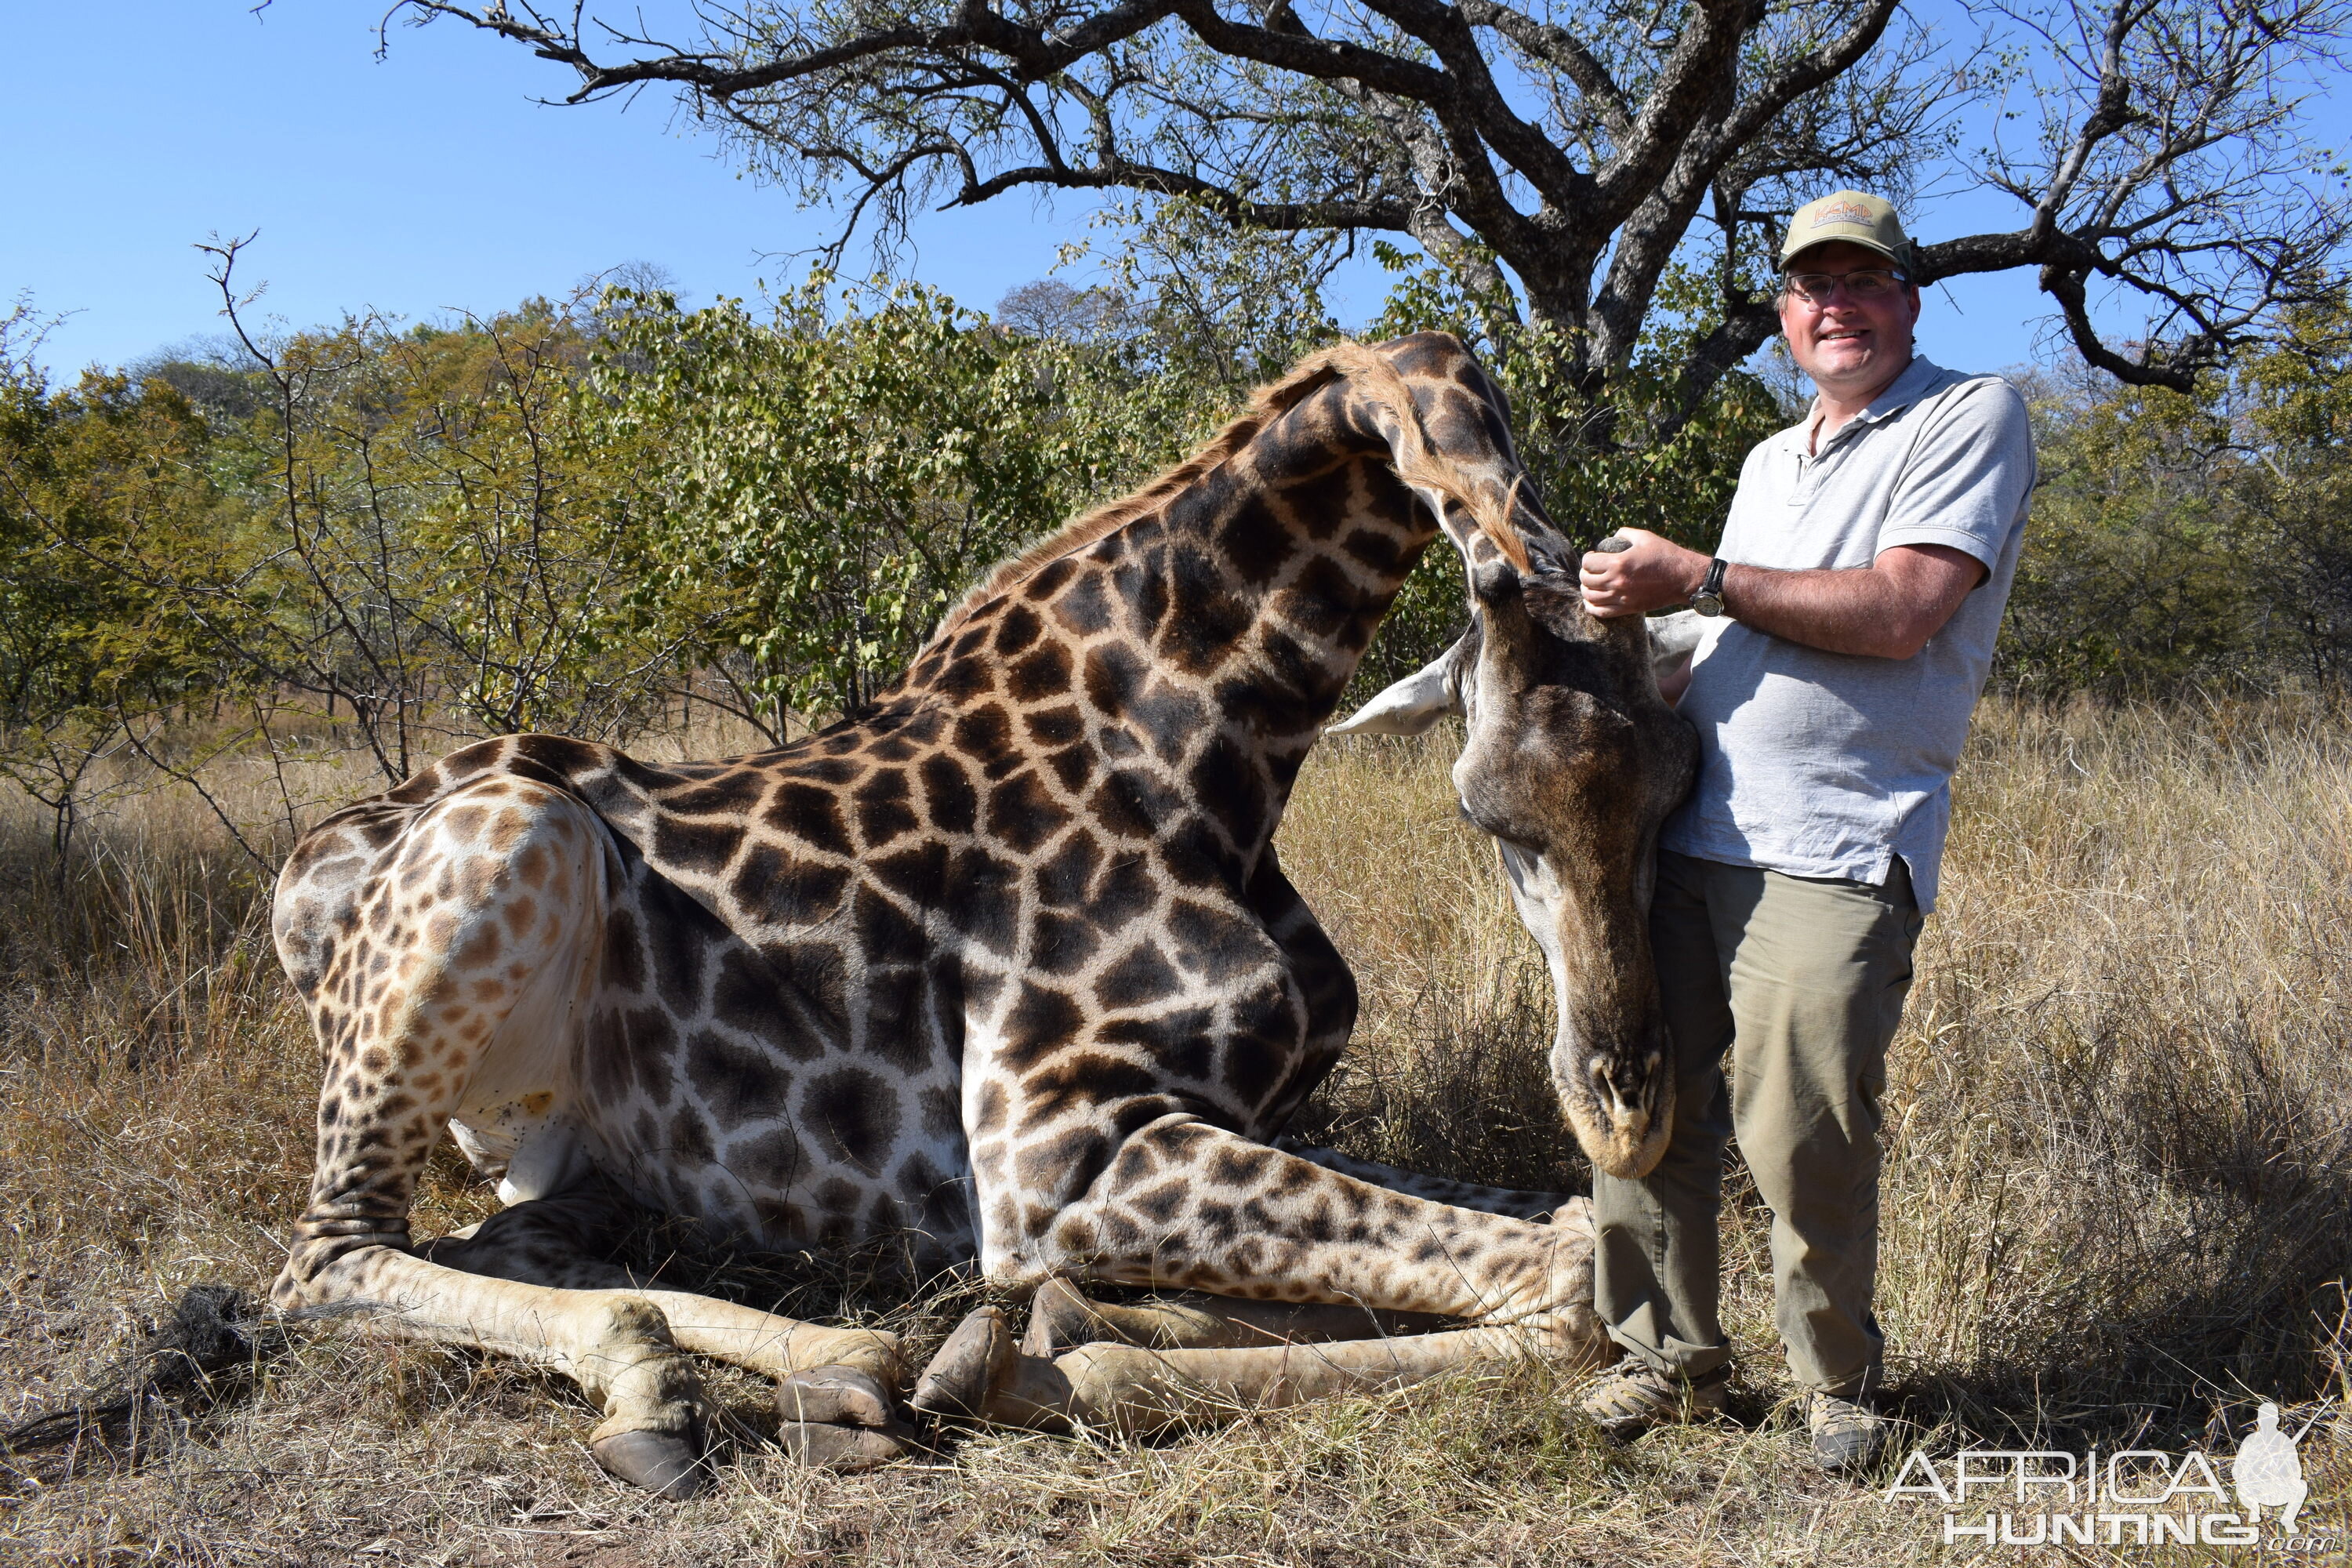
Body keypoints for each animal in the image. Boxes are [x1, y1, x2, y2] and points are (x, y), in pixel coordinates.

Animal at [267, 333, 1693, 1495]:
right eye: (1486, 811)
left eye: (1677, 792)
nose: (1629, 1114)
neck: (1207, 761)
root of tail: (304, 881)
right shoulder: (1047, 1157)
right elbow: (1564, 1269)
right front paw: (1058, 1359)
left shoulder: (1234, 1114)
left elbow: (1544, 1227)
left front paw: (1077, 1330)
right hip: (512, 842)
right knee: (322, 1261)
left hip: (587, 1157)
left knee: (510, 1247)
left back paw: (811, 1372)